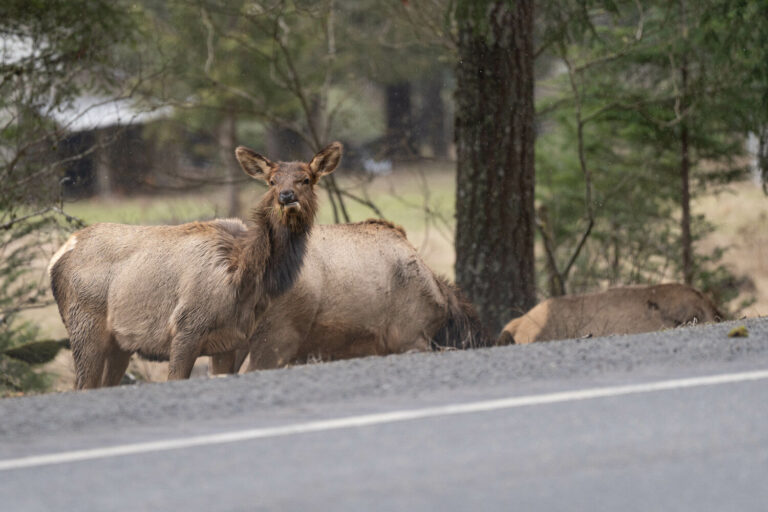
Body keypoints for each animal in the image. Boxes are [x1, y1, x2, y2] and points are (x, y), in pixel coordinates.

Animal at [48, 142, 342, 389]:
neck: (243, 277)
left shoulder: (230, 340)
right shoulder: (186, 328)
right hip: (85, 326)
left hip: (119, 343)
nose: (286, 196)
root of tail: (59, 255)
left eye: (306, 179)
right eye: (272, 181)